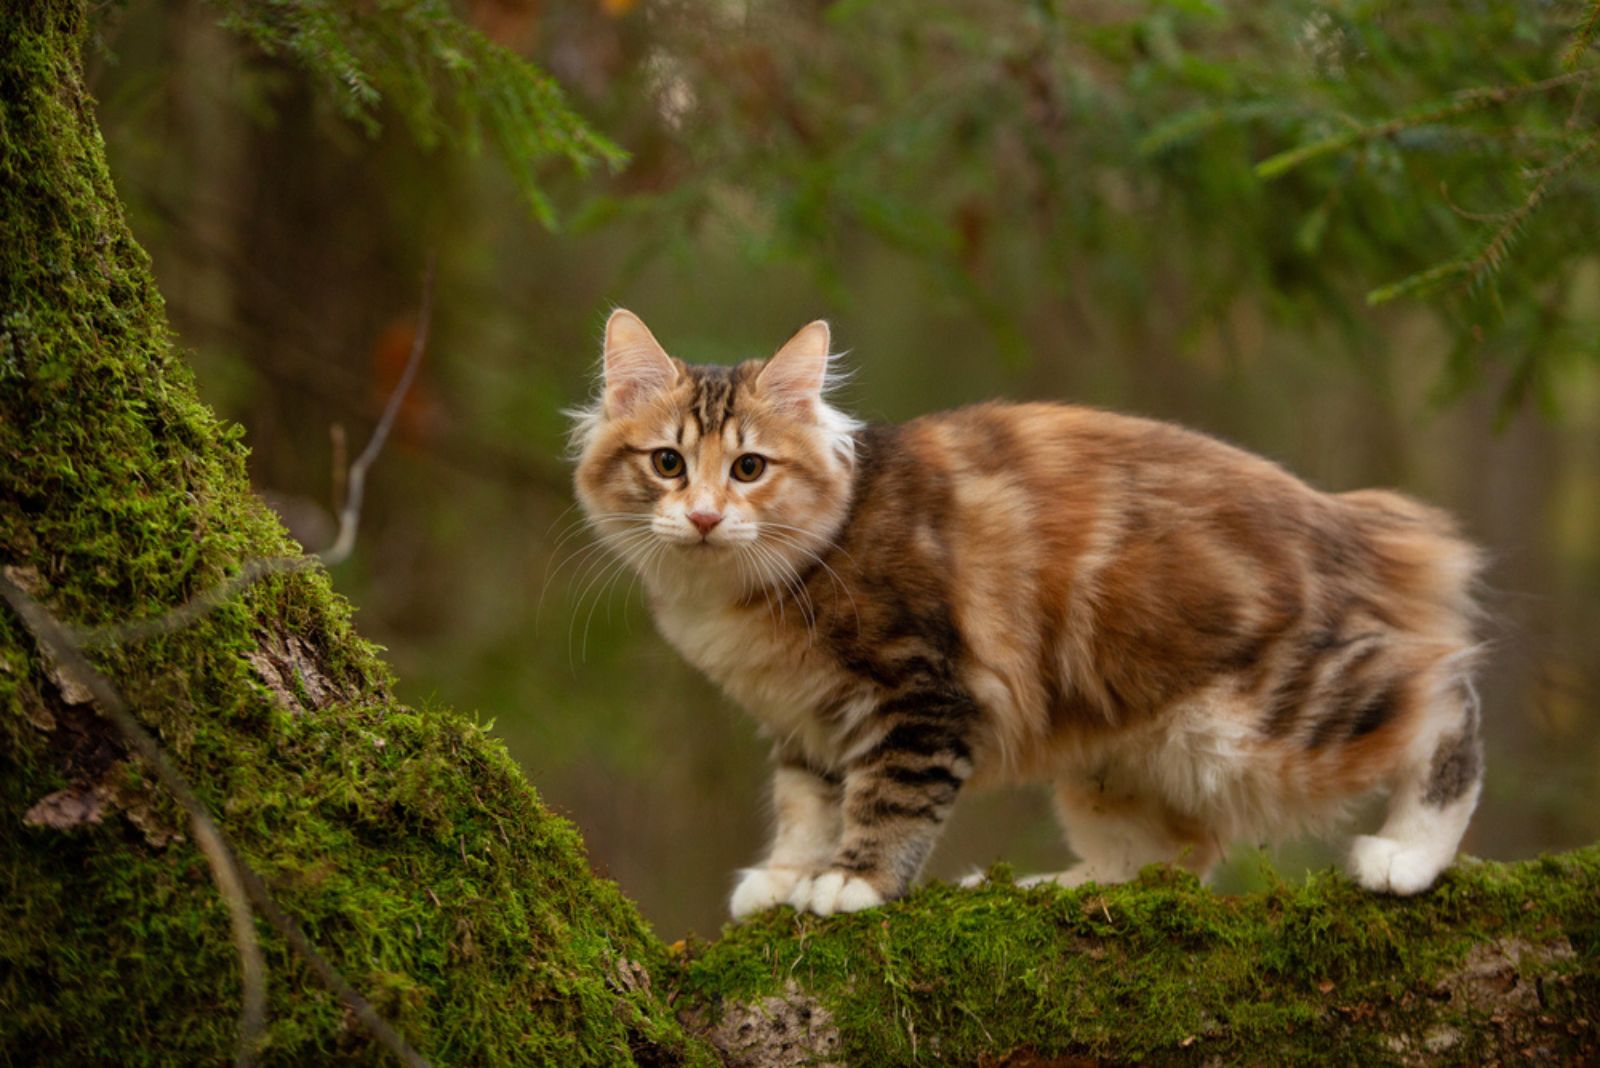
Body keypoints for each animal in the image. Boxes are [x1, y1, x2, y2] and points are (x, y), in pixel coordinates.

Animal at [572, 308, 1484, 920]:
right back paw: (1050, 890)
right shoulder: (805, 721)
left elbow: (888, 797)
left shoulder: (920, 692)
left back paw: (1409, 855)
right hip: (1115, 761)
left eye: (750, 468)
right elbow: (805, 805)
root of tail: (1347, 519)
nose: (703, 517)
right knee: (1169, 859)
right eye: (668, 463)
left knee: (1446, 698)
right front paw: (788, 875)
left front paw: (853, 880)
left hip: (1259, 722)